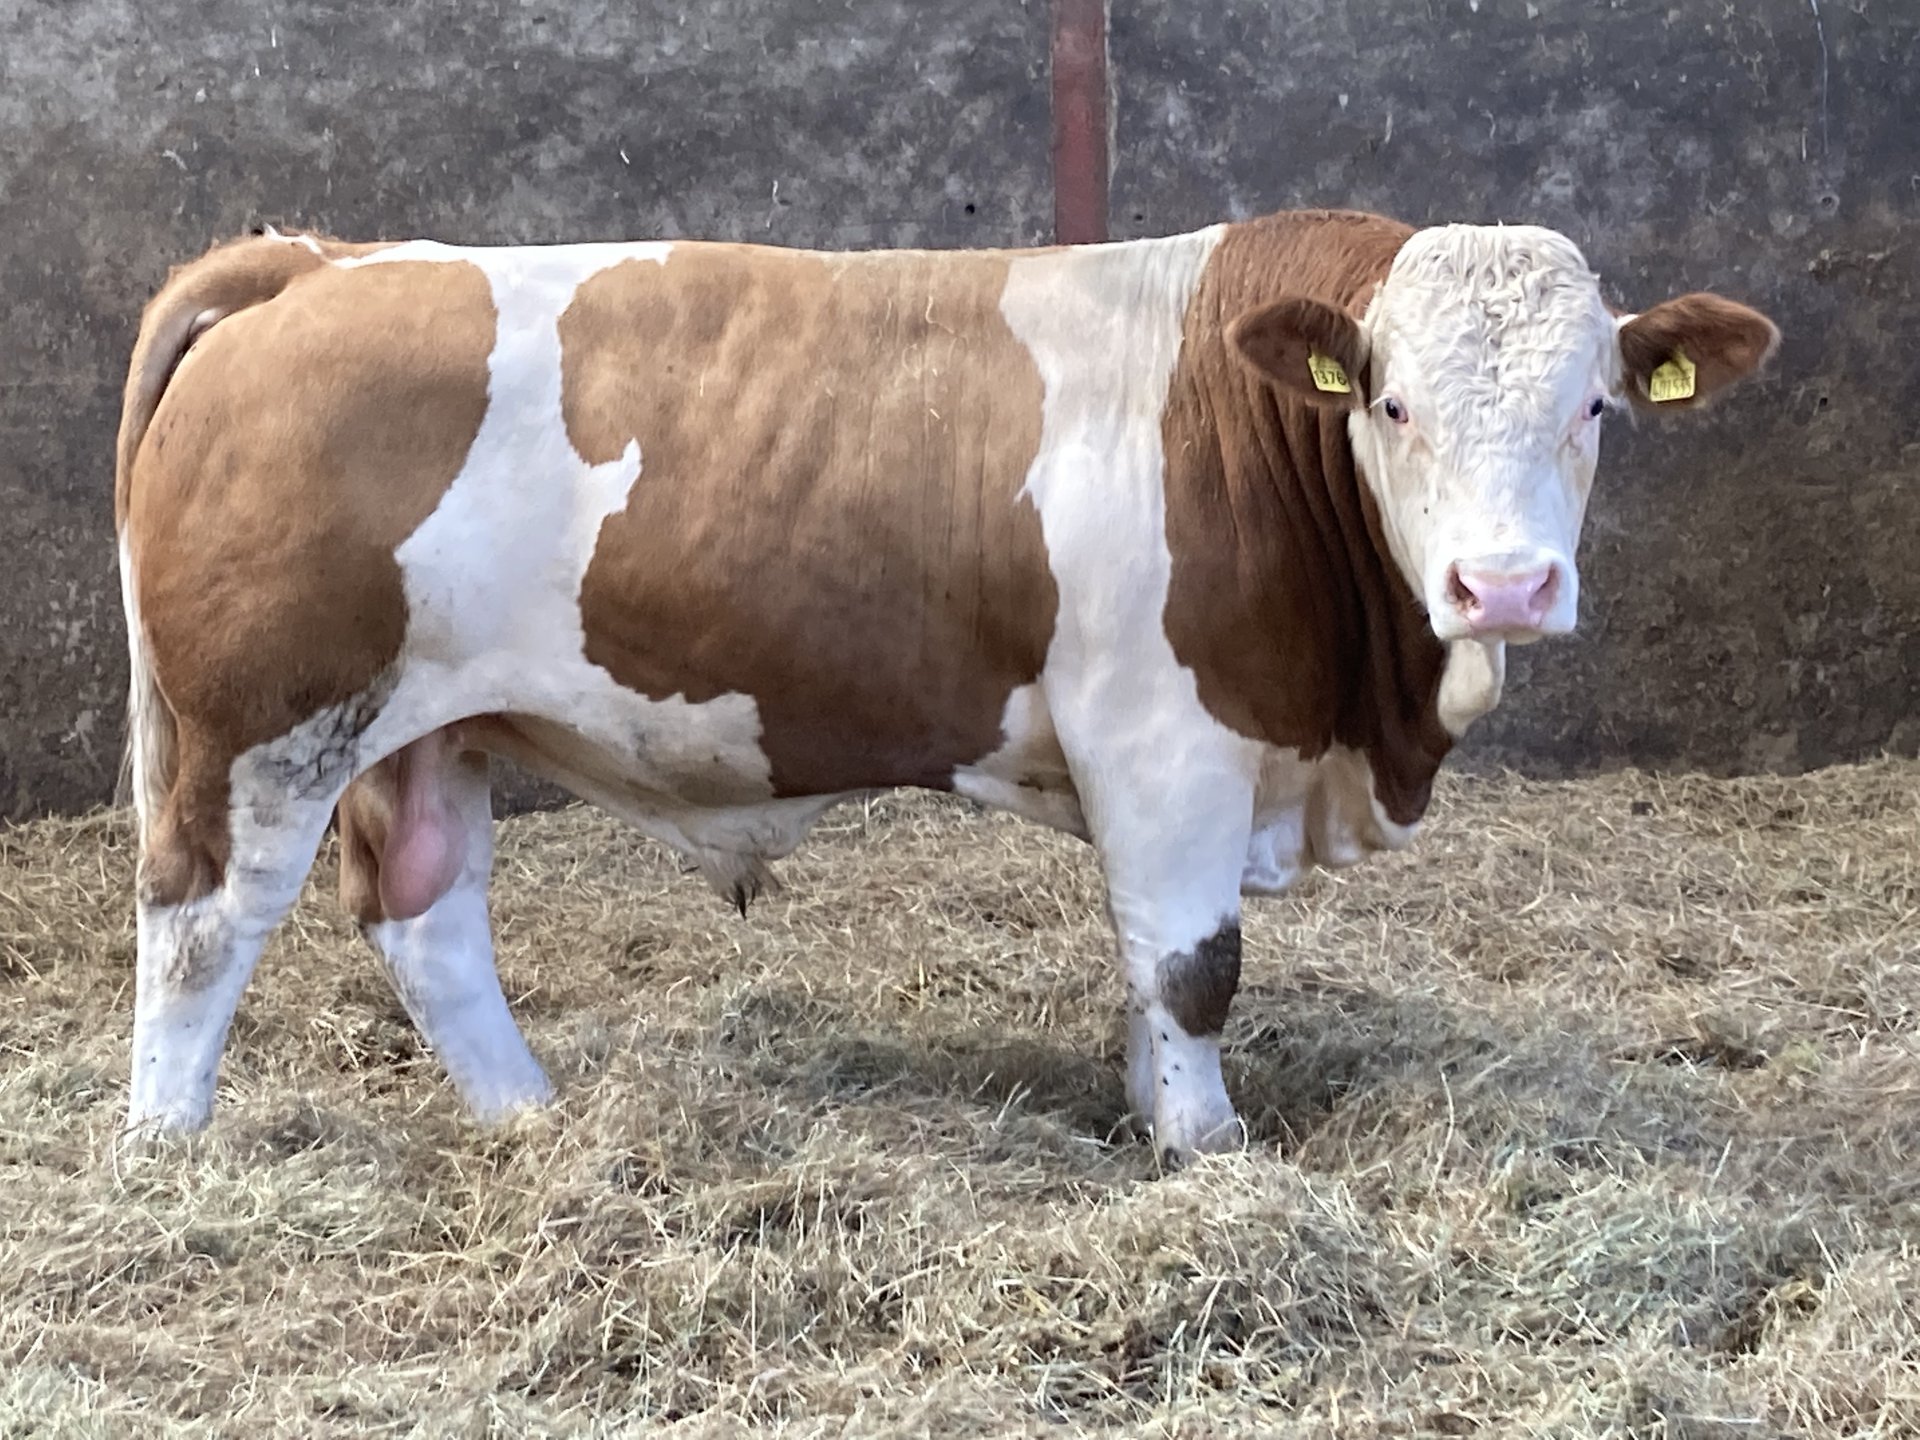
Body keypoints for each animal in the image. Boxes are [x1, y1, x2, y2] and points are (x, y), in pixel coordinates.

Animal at [113, 209, 1778, 1164]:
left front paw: (1153, 1115)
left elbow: (1149, 965)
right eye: (1390, 400)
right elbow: (1198, 965)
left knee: (428, 915)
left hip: (429, 729)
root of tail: (321, 261)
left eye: (1597, 404)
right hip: (259, 729)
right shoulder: (1166, 739)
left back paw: (531, 1116)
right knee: (203, 925)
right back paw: (165, 1154)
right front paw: (1212, 1153)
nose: (1505, 586)